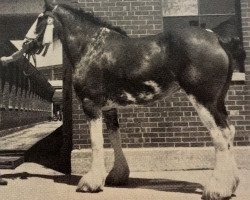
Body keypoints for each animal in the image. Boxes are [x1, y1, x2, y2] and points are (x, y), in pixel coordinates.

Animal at [14, 0, 246, 199]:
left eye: (40, 20)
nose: (25, 44)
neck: (90, 46)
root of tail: (217, 39)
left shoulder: (91, 104)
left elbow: (96, 142)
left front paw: (90, 183)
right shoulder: (108, 108)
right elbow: (114, 137)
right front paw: (117, 175)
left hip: (204, 100)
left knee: (220, 135)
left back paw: (217, 189)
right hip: (218, 101)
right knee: (229, 131)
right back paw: (231, 184)